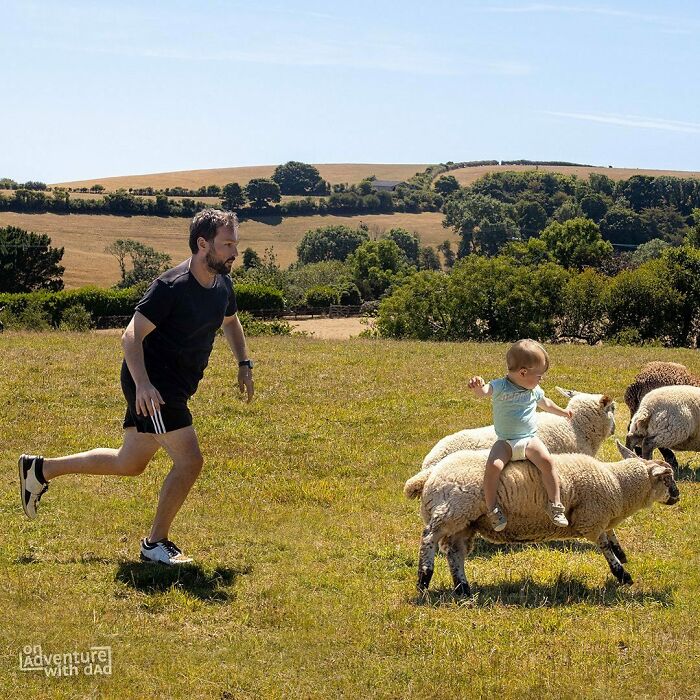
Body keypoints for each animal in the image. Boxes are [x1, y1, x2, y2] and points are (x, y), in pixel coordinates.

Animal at [408, 440, 679, 596]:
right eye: (667, 478)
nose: (678, 495)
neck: (618, 485)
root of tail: (430, 474)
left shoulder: (597, 517)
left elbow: (610, 537)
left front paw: (621, 556)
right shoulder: (590, 518)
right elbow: (604, 545)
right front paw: (622, 573)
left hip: (464, 522)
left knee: (455, 553)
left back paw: (463, 588)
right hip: (453, 511)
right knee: (428, 538)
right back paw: (424, 578)